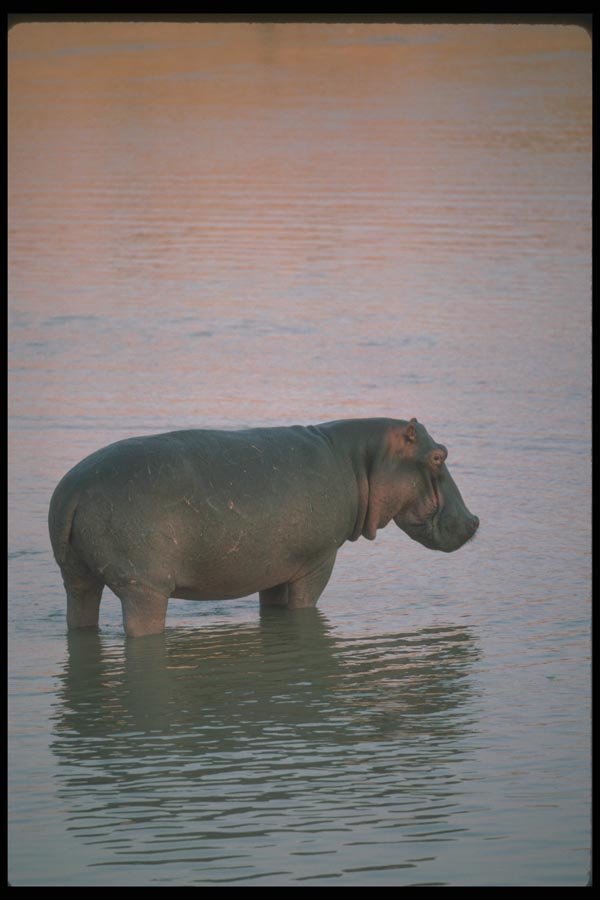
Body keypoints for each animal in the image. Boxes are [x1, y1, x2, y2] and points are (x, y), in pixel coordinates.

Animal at [48, 418, 478, 637]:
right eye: (439, 455)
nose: (475, 521)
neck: (363, 460)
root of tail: (73, 489)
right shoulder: (318, 561)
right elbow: (305, 605)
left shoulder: (275, 568)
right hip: (145, 586)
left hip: (76, 575)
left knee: (80, 608)